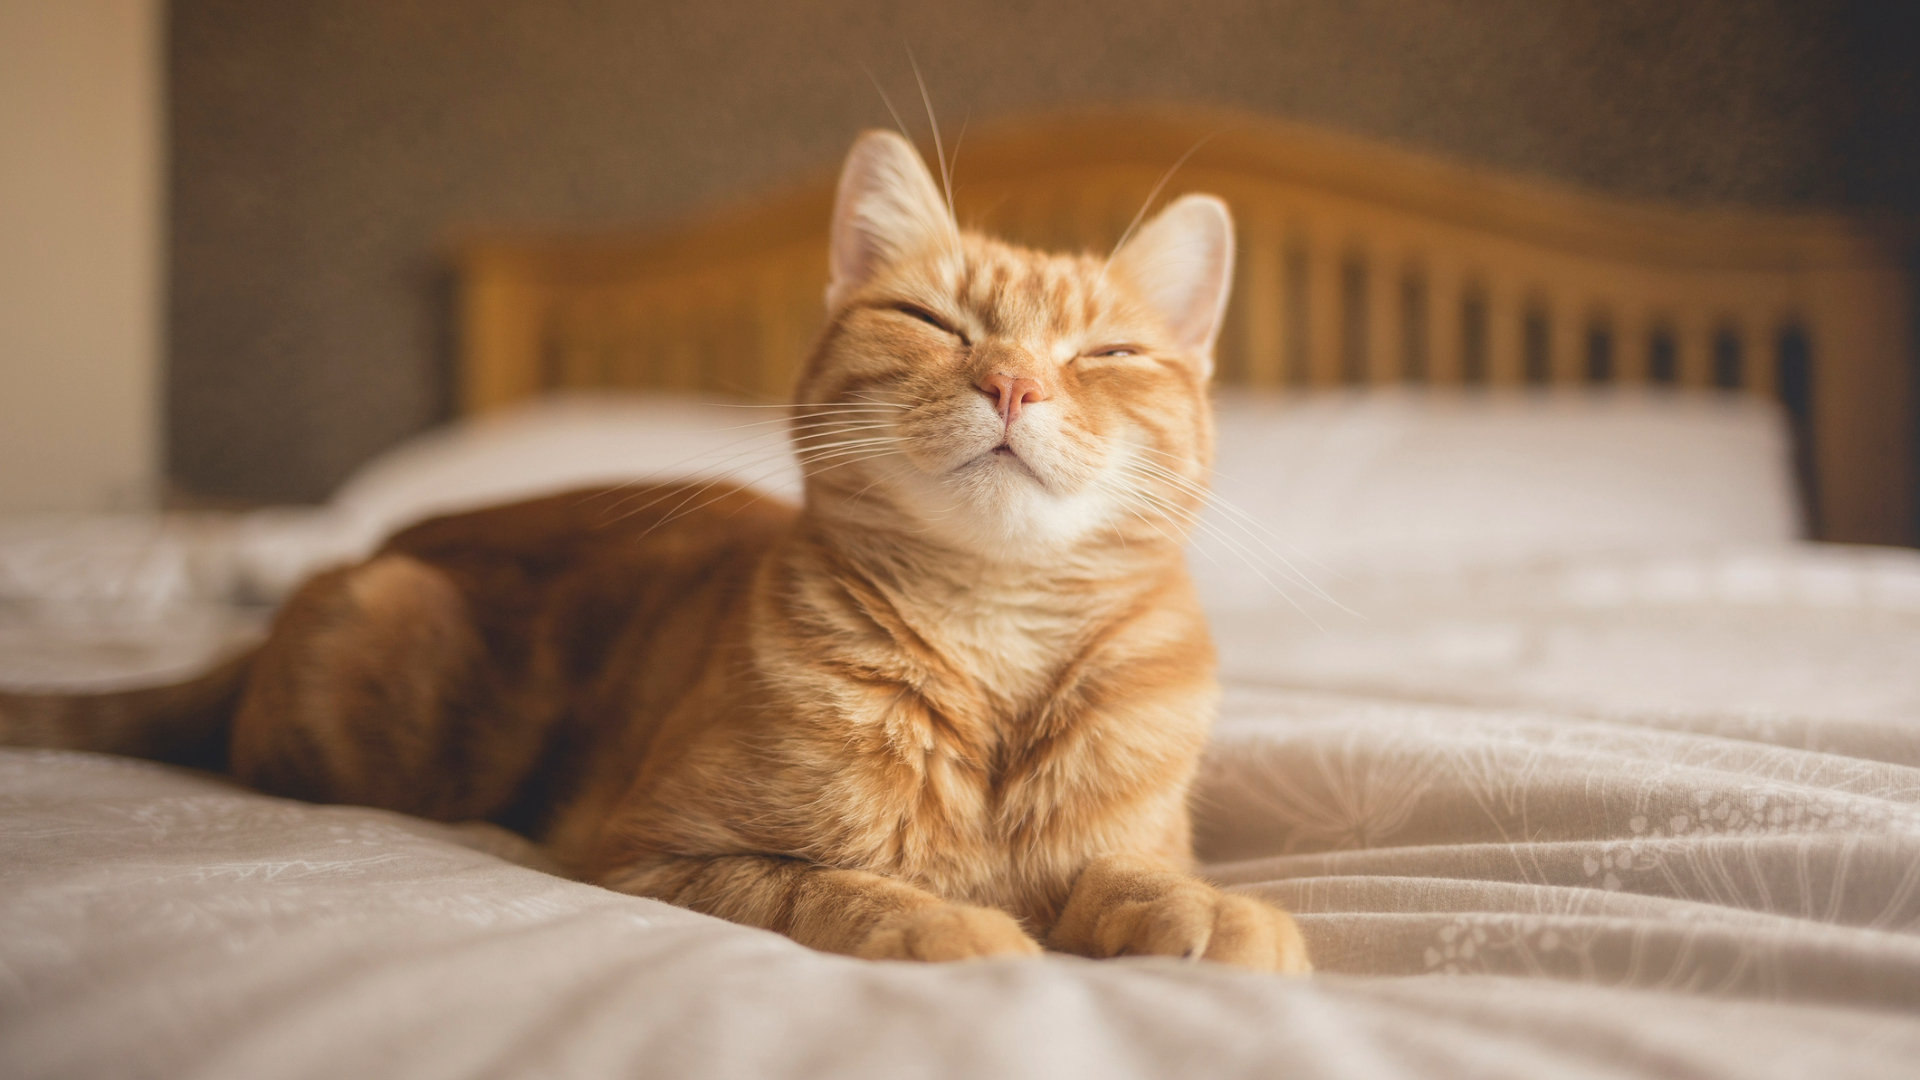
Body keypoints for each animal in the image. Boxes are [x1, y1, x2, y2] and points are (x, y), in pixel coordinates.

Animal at [3, 132, 1305, 968]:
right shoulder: (660, 851)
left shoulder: (1120, 843)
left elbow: (1136, 876)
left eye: (1107, 356)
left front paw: (1206, 913)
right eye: (930, 320)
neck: (994, 648)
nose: (1014, 382)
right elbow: (842, 893)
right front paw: (959, 926)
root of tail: (338, 571)